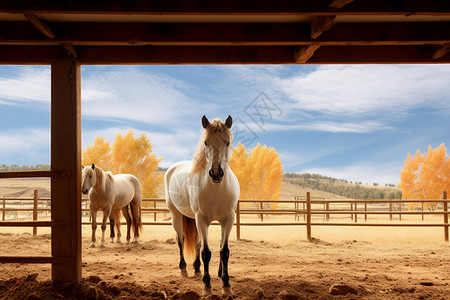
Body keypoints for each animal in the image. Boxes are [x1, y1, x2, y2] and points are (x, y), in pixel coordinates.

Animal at [165, 116, 241, 296]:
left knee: (197, 242)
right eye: (206, 142)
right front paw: (207, 287)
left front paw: (226, 285)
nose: (216, 174)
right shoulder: (202, 219)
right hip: (177, 215)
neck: (217, 189)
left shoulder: (228, 219)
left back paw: (198, 269)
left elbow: (224, 251)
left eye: (227, 142)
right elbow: (206, 253)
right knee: (181, 239)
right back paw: (184, 269)